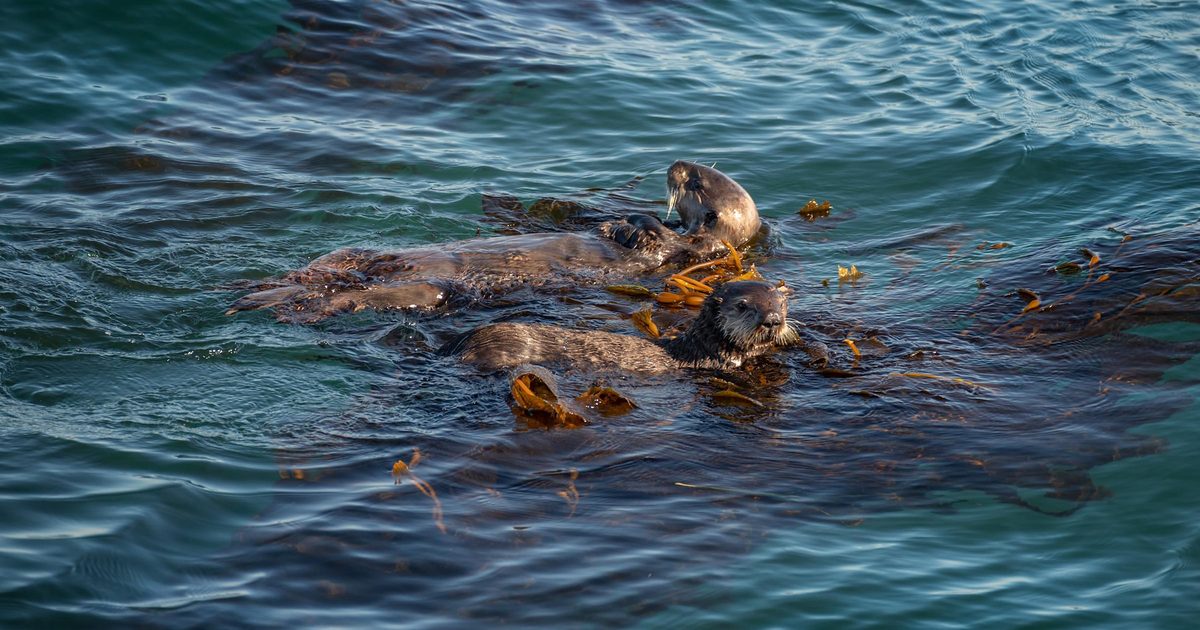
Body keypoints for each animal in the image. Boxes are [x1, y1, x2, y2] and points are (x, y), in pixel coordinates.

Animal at [226, 161, 761, 323]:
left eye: (695, 182)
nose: (674, 165)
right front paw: (616, 220)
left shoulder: (676, 255)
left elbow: (657, 241)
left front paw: (634, 224)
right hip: (359, 253)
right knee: (329, 266)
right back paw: (255, 287)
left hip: (429, 291)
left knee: (356, 297)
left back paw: (286, 305)